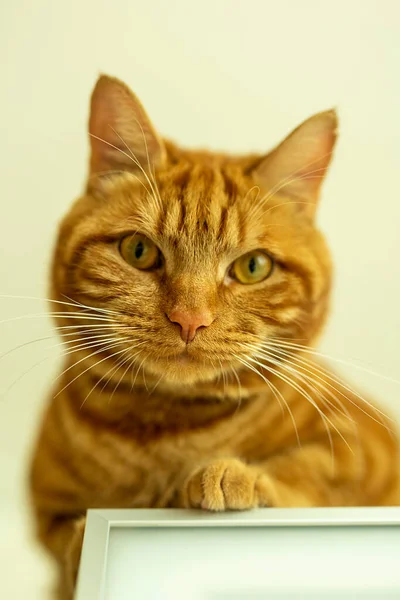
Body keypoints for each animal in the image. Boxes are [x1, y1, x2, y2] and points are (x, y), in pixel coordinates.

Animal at [29, 74, 398, 596]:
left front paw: (241, 477)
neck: (167, 430)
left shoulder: (368, 452)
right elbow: (63, 541)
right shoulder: (48, 508)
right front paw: (83, 551)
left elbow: (318, 468)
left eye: (253, 267)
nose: (189, 319)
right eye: (138, 250)